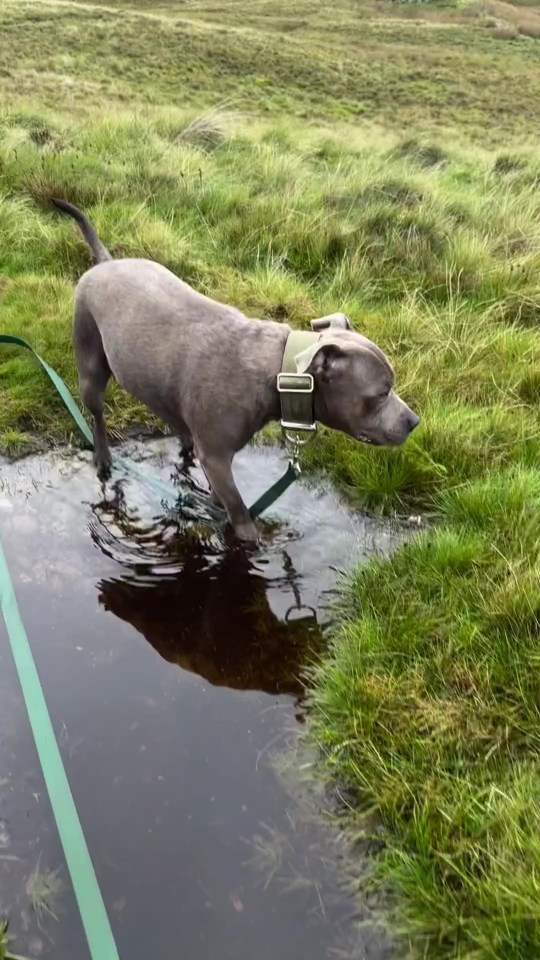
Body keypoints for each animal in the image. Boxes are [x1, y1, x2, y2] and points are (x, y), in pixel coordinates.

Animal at [52, 197, 420, 540]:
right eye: (381, 393)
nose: (414, 421)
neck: (278, 373)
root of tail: (106, 262)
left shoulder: (215, 459)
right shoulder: (217, 460)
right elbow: (240, 512)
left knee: (179, 425)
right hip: (90, 360)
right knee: (97, 414)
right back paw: (102, 458)